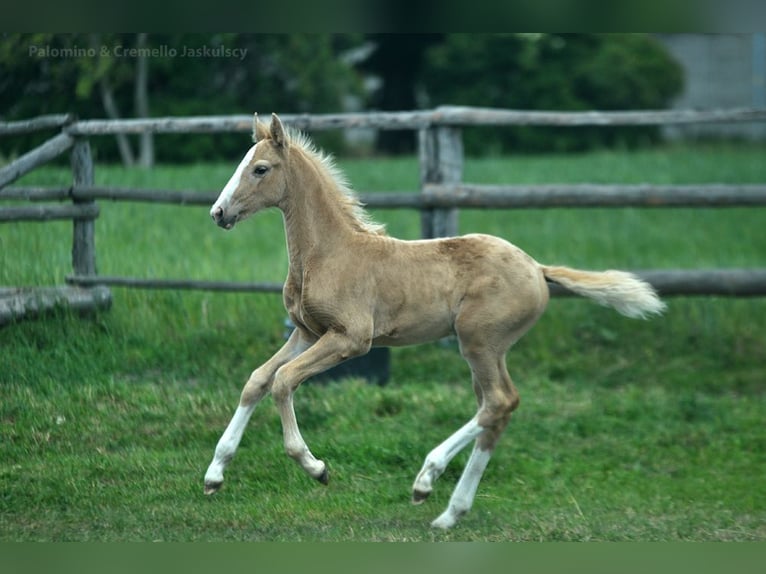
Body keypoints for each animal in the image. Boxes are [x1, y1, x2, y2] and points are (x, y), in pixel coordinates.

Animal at [206, 112, 664, 532]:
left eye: (260, 168)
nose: (218, 212)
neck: (329, 253)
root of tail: (537, 267)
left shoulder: (351, 339)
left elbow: (283, 381)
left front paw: (316, 467)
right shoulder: (306, 333)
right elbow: (258, 380)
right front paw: (214, 475)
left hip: (479, 342)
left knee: (498, 403)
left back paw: (426, 479)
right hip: (486, 350)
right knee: (496, 411)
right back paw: (449, 513)